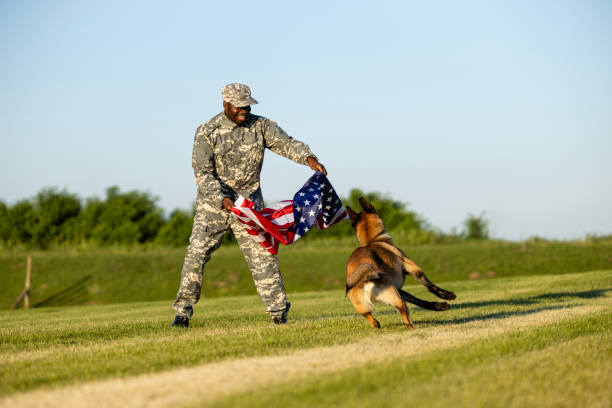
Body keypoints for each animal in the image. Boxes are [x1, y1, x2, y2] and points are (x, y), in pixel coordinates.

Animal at [344, 197, 454, 328]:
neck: (373, 240)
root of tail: (365, 281)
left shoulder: (399, 289)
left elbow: (417, 300)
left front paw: (438, 305)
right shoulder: (411, 267)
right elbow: (429, 284)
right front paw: (446, 295)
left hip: (368, 306)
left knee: (373, 320)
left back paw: (377, 325)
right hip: (396, 298)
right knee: (406, 318)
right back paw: (413, 327)